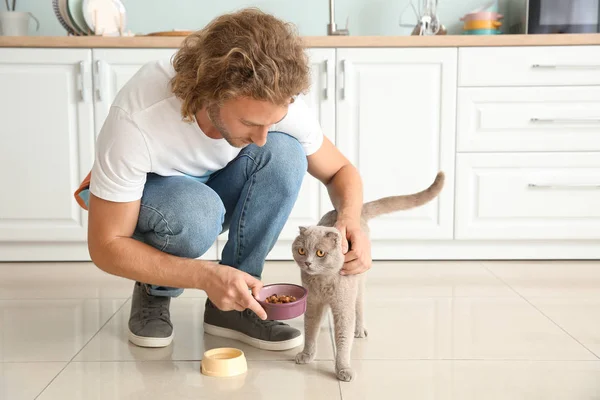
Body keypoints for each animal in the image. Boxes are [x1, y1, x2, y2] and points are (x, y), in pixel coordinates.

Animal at [292, 171, 442, 382]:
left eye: (320, 253)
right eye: (302, 250)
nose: (308, 263)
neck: (323, 282)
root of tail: (358, 212)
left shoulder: (344, 307)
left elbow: (343, 341)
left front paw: (343, 369)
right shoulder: (313, 303)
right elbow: (310, 331)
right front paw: (307, 355)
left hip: (359, 285)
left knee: (359, 308)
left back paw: (359, 331)